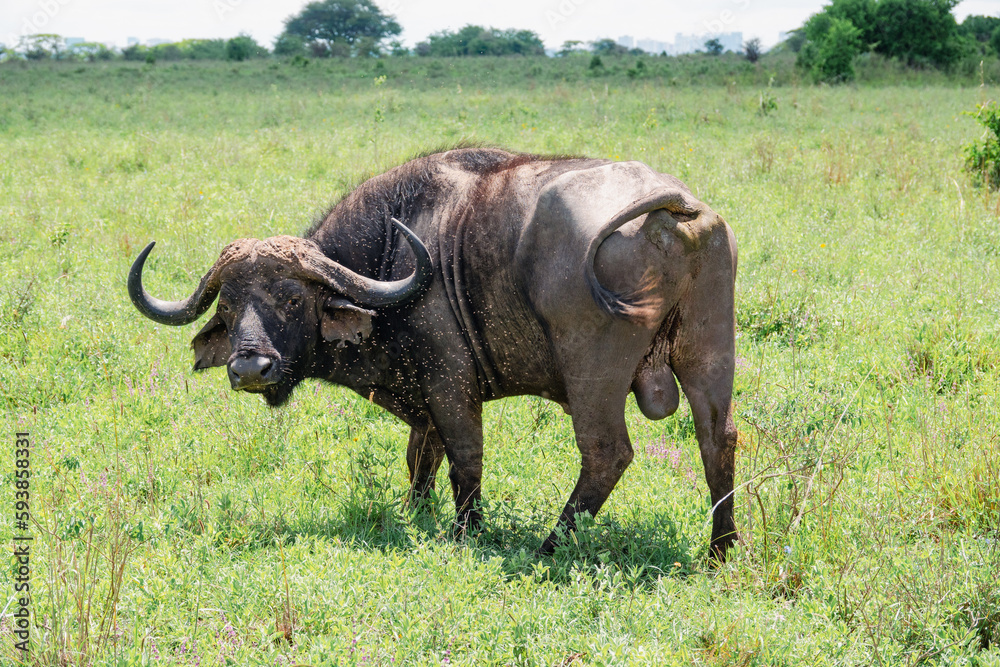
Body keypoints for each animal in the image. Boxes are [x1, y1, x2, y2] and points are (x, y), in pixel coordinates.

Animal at [128, 148, 738, 557]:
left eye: (293, 299)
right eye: (229, 307)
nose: (250, 367)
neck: (390, 262)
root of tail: (675, 205)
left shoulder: (450, 384)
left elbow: (465, 459)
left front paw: (463, 534)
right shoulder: (422, 402)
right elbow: (421, 458)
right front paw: (414, 516)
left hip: (592, 375)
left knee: (606, 453)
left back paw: (549, 546)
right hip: (710, 353)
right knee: (718, 440)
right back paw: (721, 549)